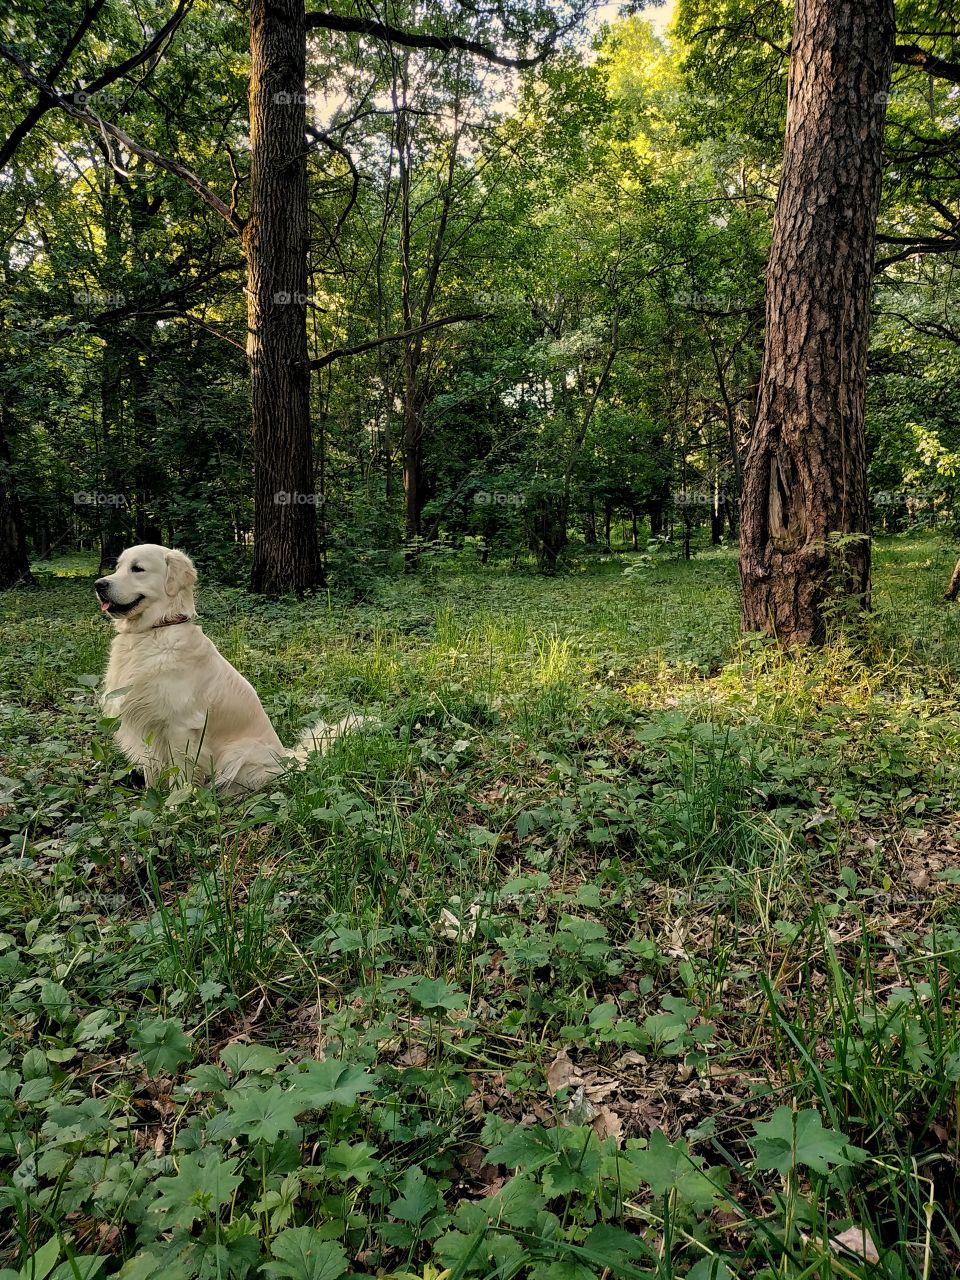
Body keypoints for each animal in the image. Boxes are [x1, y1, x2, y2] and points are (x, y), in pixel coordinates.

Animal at [96, 540, 363, 788]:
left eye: (137, 569)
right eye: (118, 567)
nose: (99, 584)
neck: (155, 631)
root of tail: (288, 760)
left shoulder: (180, 726)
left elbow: (180, 776)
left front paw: (175, 804)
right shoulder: (146, 723)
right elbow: (152, 771)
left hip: (239, 753)